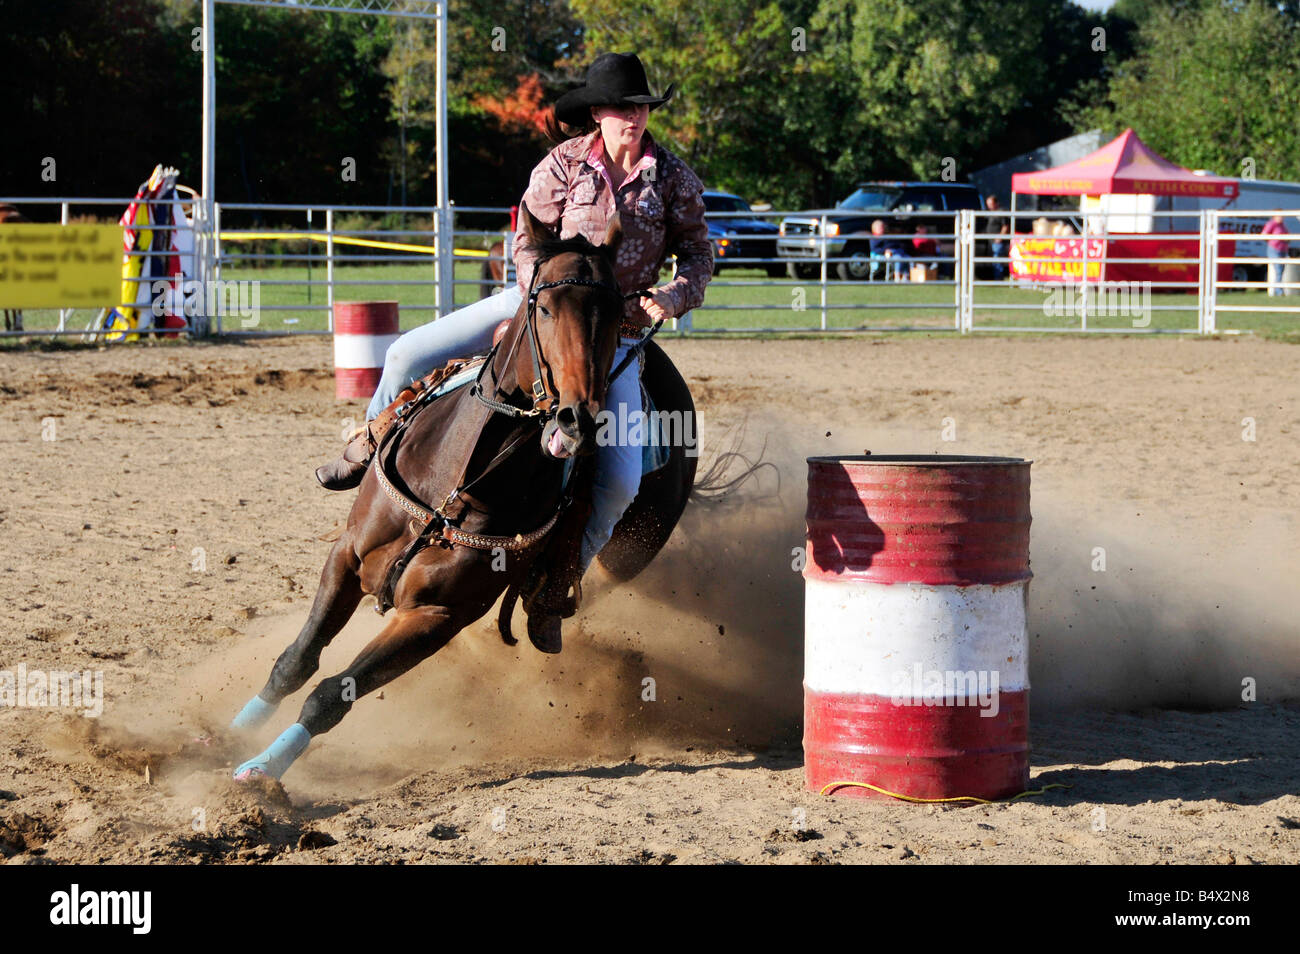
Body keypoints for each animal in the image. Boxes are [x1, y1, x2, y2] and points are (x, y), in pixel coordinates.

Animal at [233, 205, 702, 779]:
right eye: (544, 305)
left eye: (617, 313)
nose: (579, 419)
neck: (456, 484)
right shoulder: (346, 556)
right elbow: (296, 661)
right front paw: (232, 733)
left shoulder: (437, 617)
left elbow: (331, 695)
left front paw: (262, 769)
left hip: (625, 559)